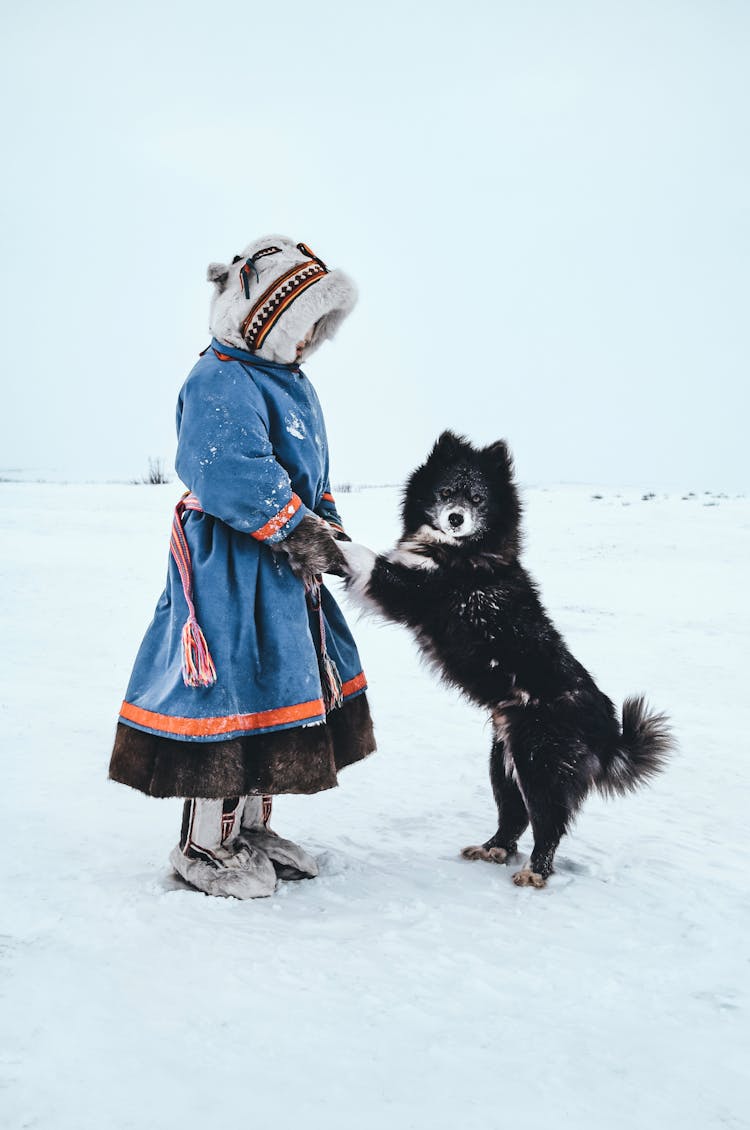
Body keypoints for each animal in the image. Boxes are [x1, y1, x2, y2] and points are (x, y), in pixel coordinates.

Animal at [334, 427, 673, 885]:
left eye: (478, 498)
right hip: (504, 764)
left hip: (538, 762)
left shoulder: (414, 590)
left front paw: (329, 536)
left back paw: (535, 872)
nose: (455, 518)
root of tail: (609, 735)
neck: (462, 550)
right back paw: (492, 848)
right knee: (514, 817)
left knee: (550, 822)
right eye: (446, 492)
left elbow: (367, 559)